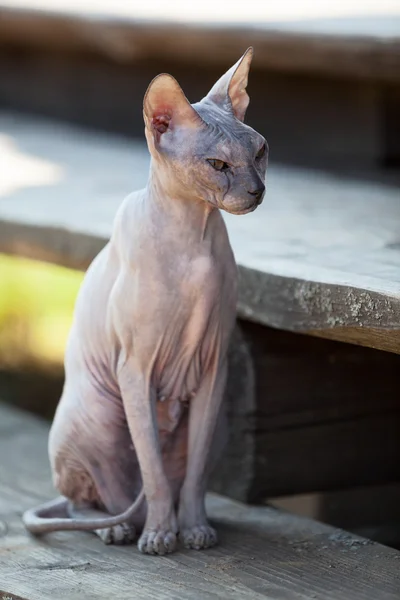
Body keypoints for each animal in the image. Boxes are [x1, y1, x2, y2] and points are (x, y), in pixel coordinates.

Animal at [21, 49, 268, 556]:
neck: (193, 237)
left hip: (214, 422)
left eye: (259, 153)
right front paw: (159, 537)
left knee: (166, 483)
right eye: (218, 164)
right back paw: (122, 528)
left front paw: (194, 530)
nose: (257, 190)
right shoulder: (135, 367)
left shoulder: (212, 368)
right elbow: (152, 473)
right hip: (98, 413)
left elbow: (191, 478)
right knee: (93, 500)